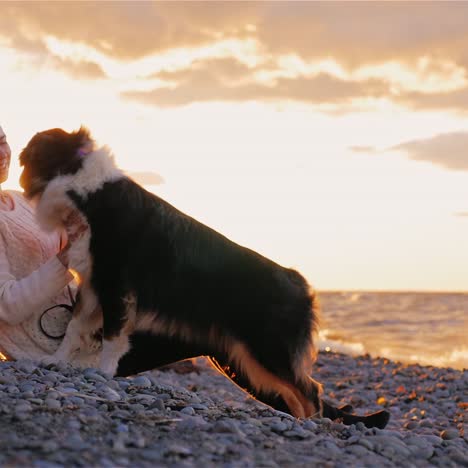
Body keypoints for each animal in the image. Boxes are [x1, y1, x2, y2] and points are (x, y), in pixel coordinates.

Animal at [18, 128, 390, 428]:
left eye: (31, 155)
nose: (19, 177)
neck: (86, 191)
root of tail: (300, 283)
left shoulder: (117, 286)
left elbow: (111, 337)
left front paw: (103, 373)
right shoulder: (94, 285)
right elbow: (74, 329)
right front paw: (56, 361)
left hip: (269, 349)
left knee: (311, 388)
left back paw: (314, 424)